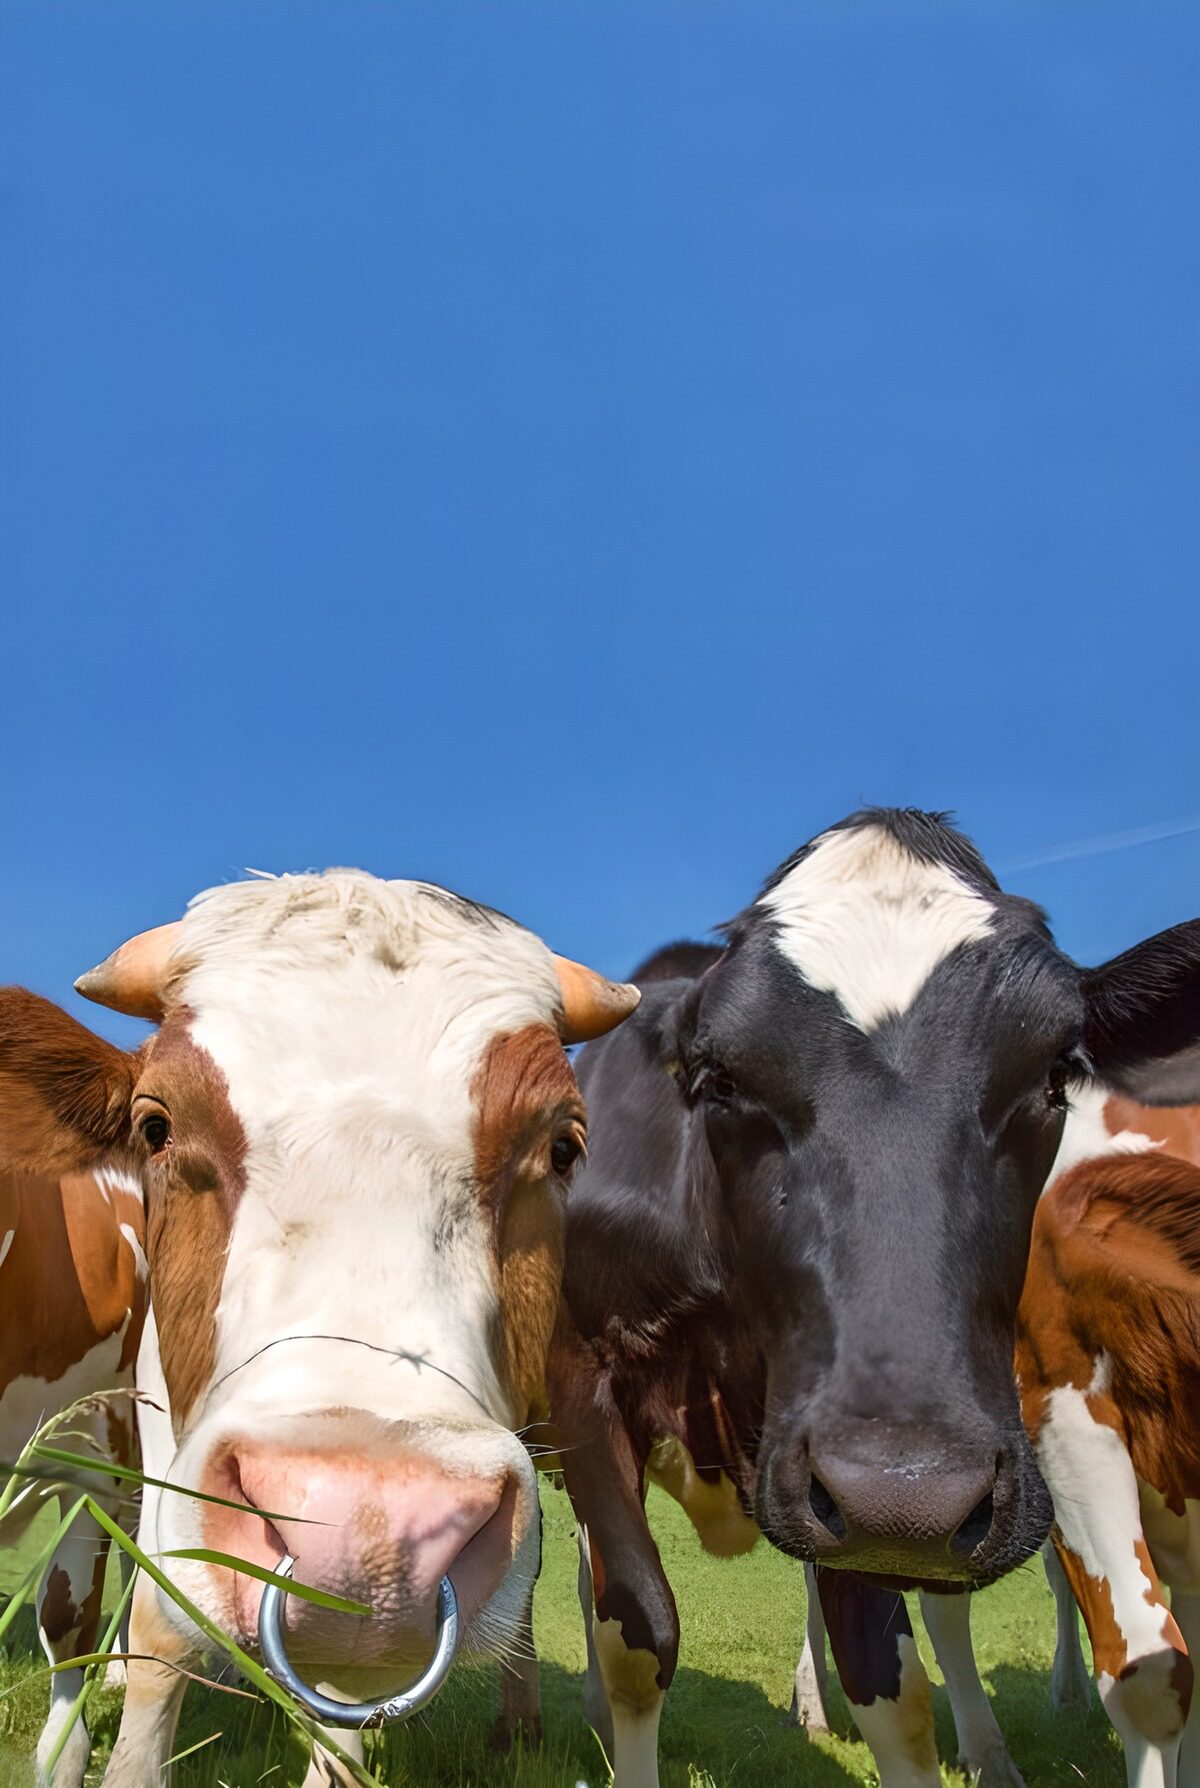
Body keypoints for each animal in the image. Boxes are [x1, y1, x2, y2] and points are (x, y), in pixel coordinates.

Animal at [534, 808, 1200, 1788]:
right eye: (718, 1077)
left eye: (1056, 1075)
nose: (911, 1491)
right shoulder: (586, 1381)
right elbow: (638, 1632)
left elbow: (890, 1687)